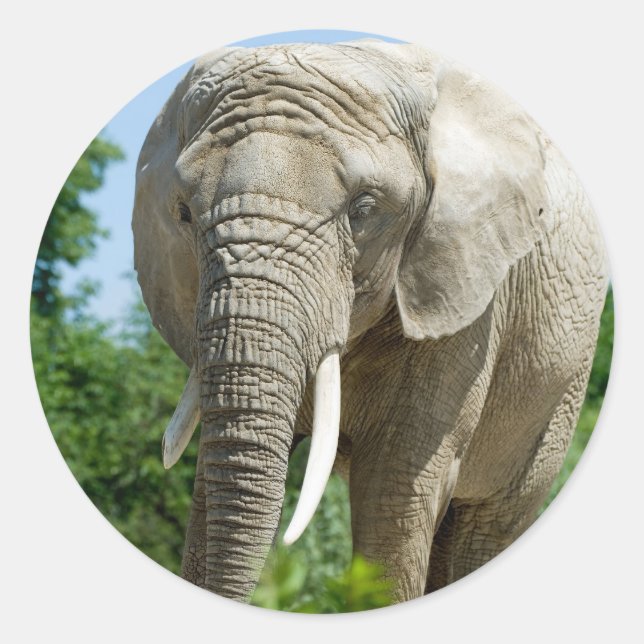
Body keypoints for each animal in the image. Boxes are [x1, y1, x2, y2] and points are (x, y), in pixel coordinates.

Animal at [132, 39, 608, 605]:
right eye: (183, 212)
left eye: (363, 209)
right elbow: (214, 468)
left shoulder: (466, 298)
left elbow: (393, 489)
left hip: (560, 388)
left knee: (486, 525)